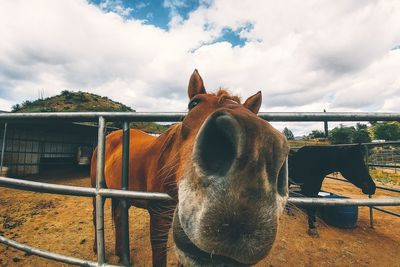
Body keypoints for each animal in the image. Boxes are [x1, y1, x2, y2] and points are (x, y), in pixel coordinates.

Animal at [90, 70, 290, 266]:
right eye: (193, 103)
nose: (259, 154)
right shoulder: (158, 214)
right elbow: (159, 255)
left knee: (118, 216)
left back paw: (121, 255)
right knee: (96, 215)